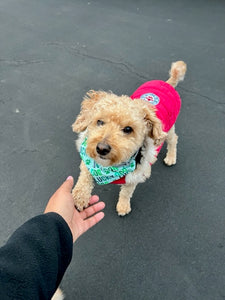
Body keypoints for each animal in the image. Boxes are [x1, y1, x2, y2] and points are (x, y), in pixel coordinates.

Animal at [71, 61, 186, 216]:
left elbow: (126, 192)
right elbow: (84, 175)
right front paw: (80, 196)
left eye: (128, 129)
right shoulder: (87, 159)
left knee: (173, 140)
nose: (101, 148)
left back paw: (171, 157)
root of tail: (166, 83)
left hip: (167, 130)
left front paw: (123, 205)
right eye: (99, 122)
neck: (110, 167)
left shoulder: (133, 178)